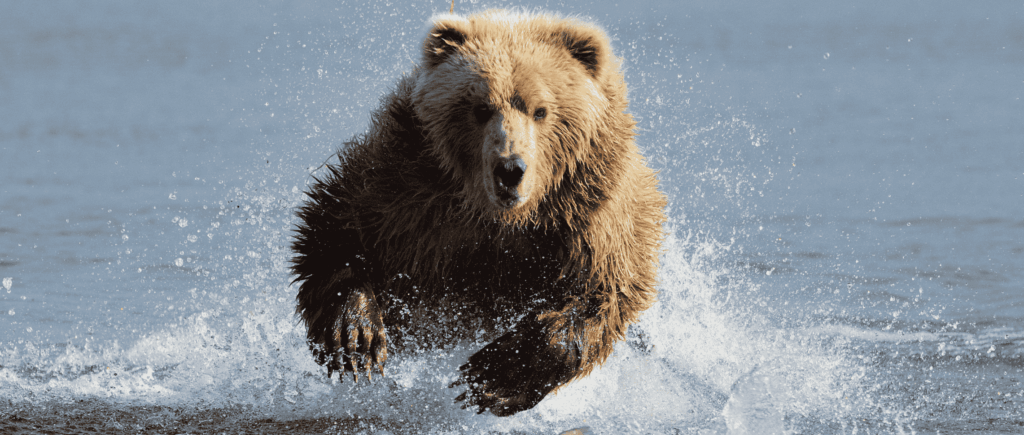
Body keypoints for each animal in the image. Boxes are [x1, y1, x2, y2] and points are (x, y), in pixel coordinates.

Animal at [291, 9, 666, 416]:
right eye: (481, 108)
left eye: (541, 110)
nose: (510, 169)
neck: (501, 217)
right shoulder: (407, 188)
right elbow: (337, 227)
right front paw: (356, 337)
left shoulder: (588, 213)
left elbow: (599, 292)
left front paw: (491, 377)